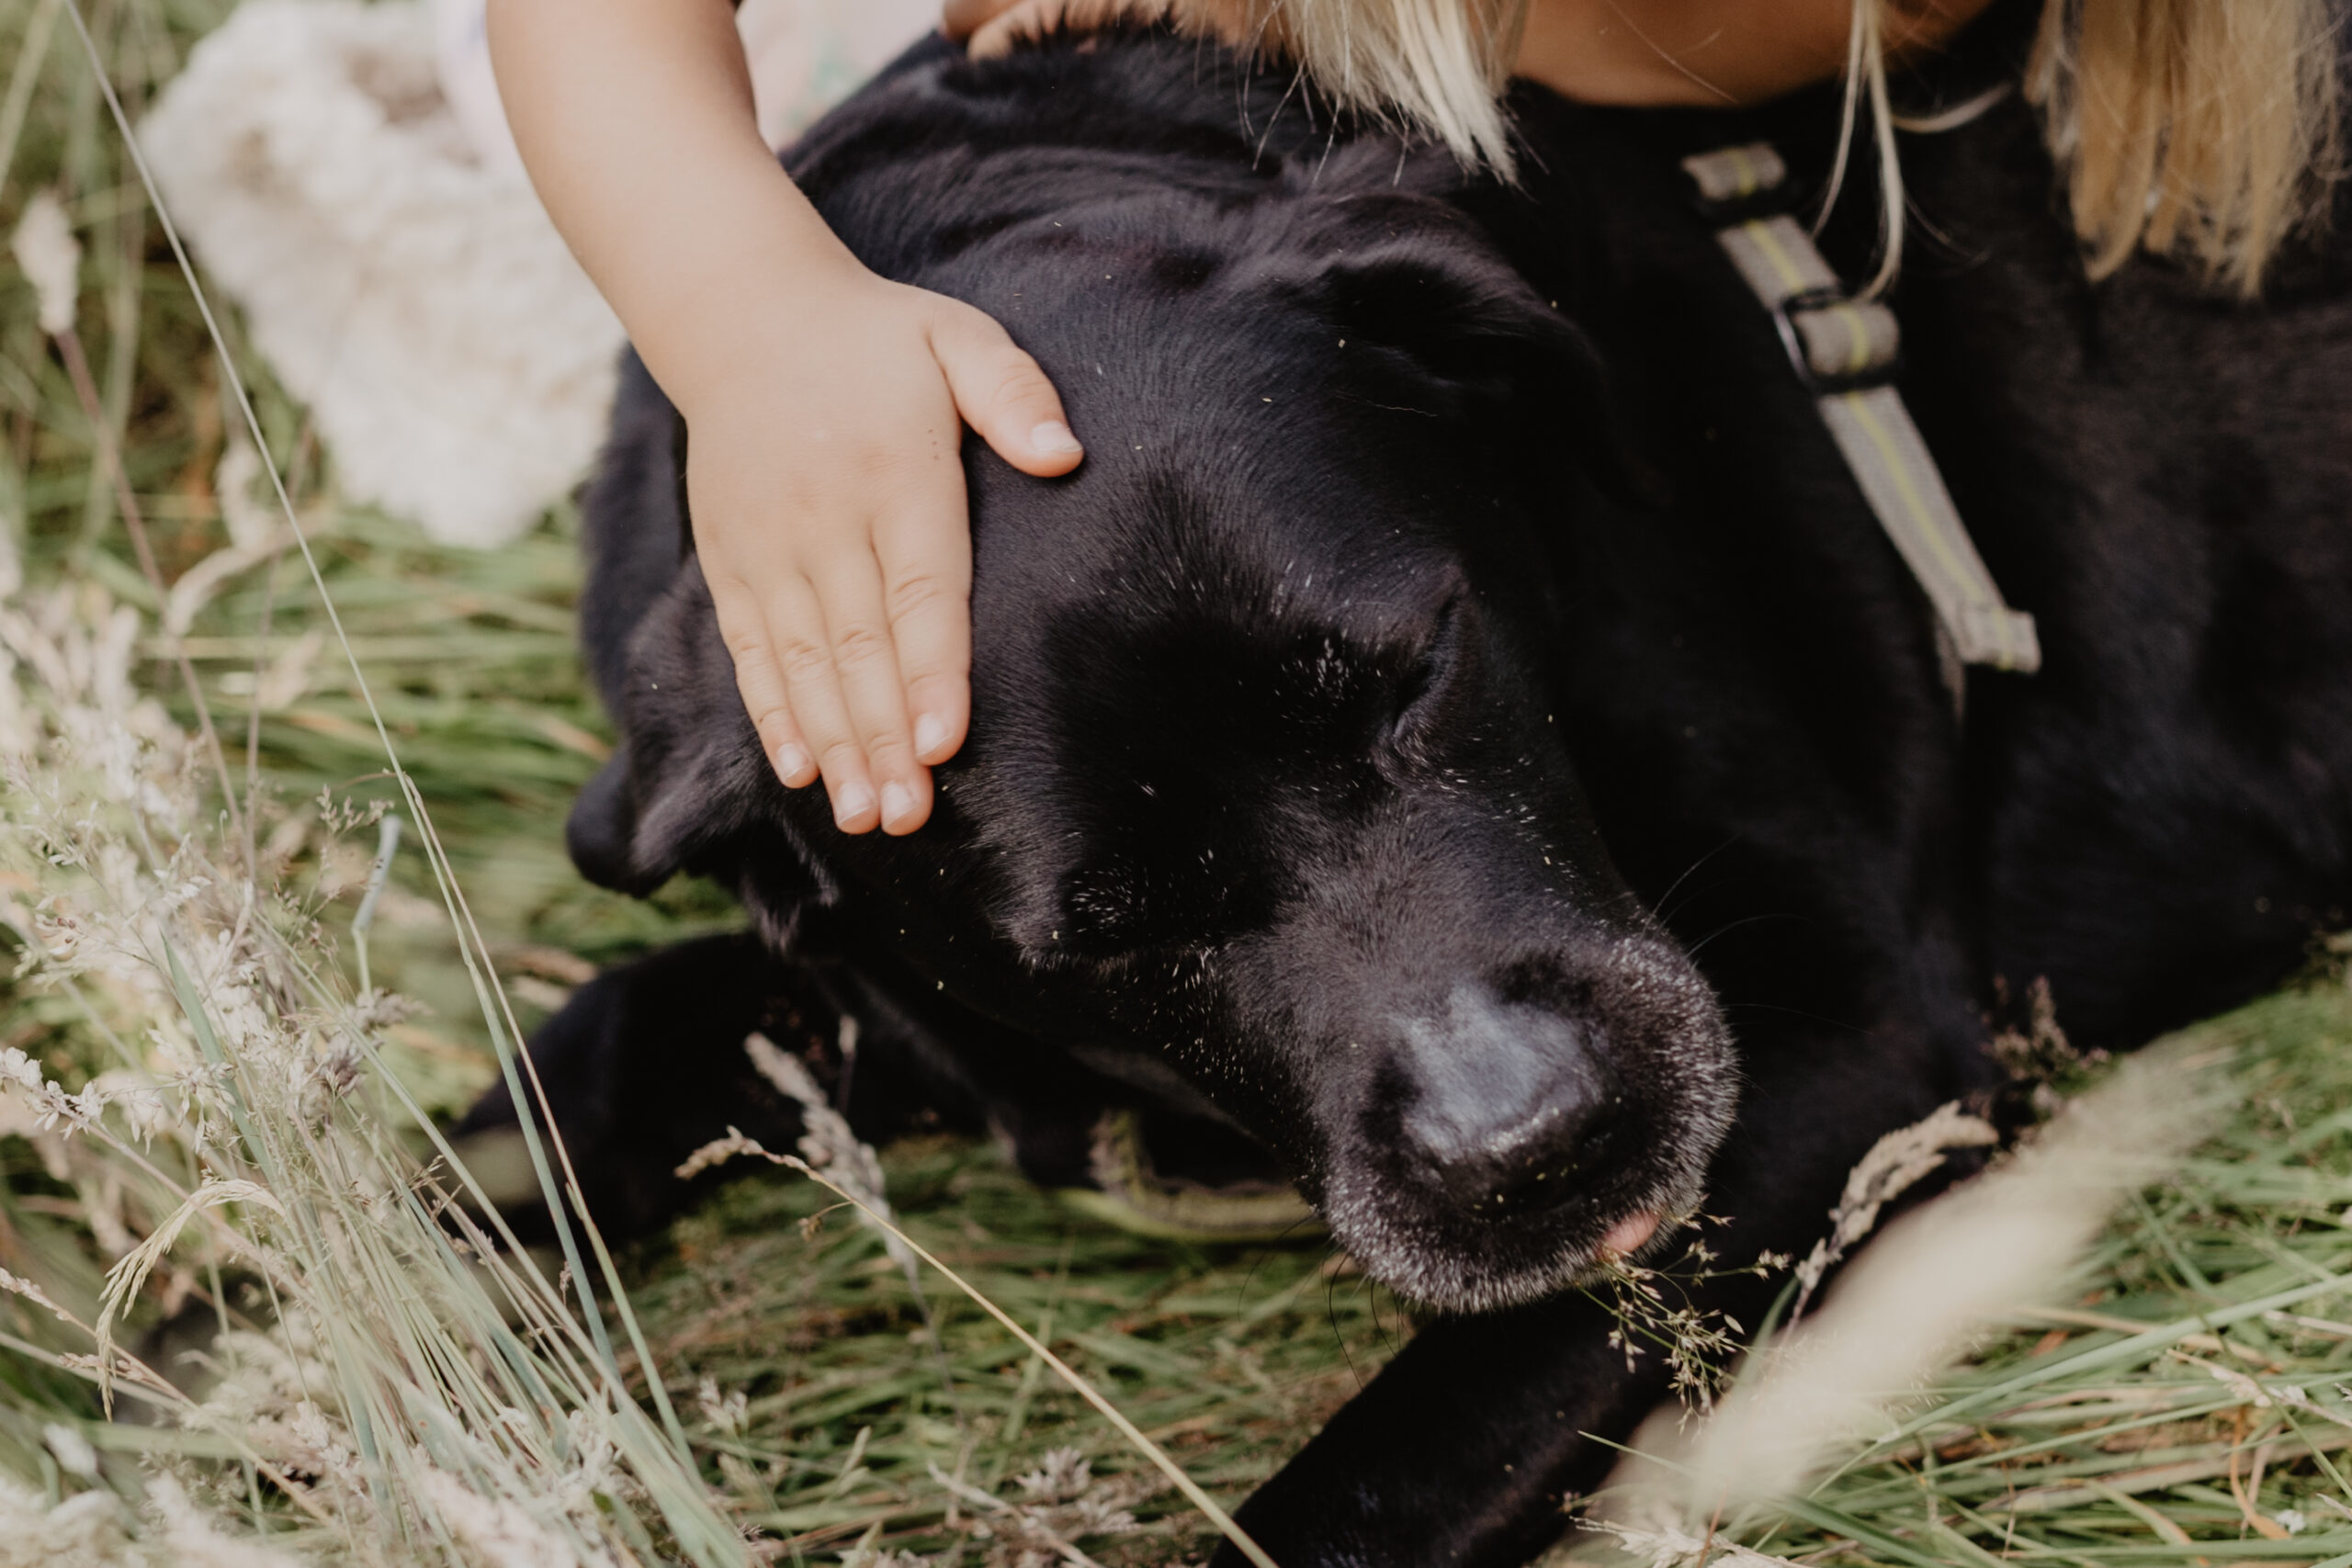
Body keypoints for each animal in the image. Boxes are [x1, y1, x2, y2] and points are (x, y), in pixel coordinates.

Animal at [463, 8, 2352, 1561]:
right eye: (1105, 928)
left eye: (1414, 669)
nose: (1538, 1142)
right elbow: (616, 1028)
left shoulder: (1846, 1038)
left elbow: (1372, 1489)